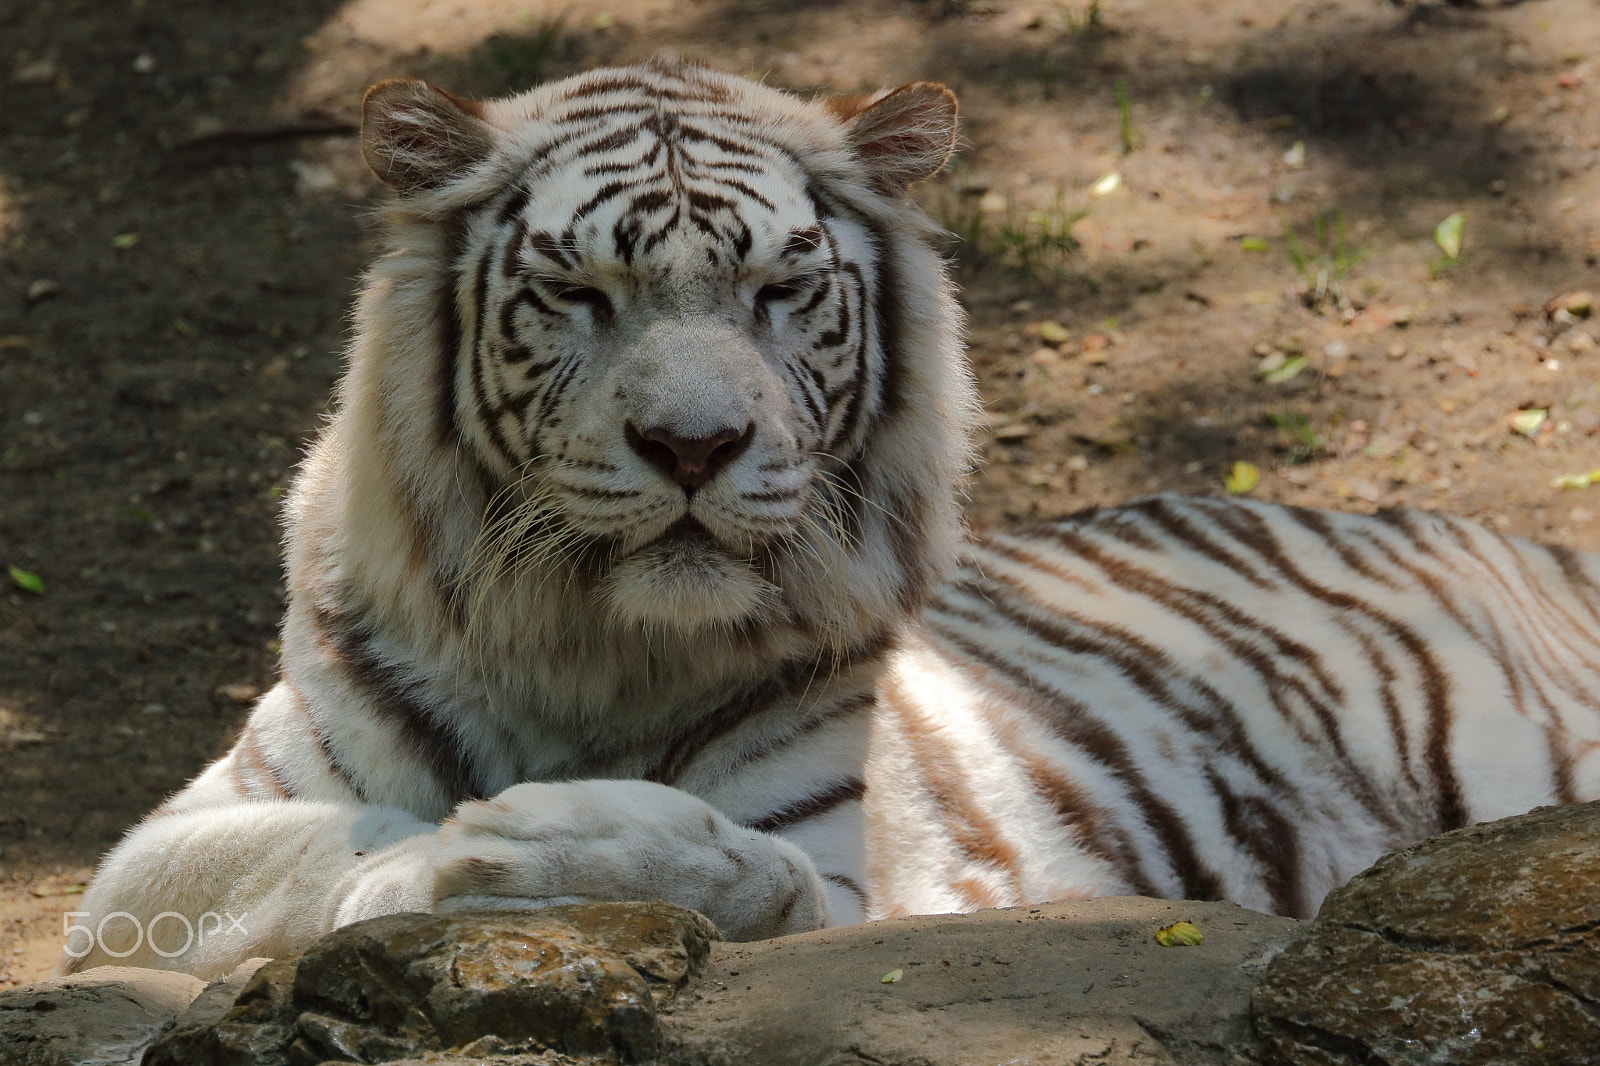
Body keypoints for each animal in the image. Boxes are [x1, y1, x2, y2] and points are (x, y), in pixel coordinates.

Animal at [67, 57, 1600, 980]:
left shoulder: (845, 873)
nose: (695, 444)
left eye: (778, 293)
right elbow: (329, 842)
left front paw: (541, 843)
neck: (586, 646)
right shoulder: (168, 844)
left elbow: (755, 872)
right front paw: (465, 852)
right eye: (579, 295)